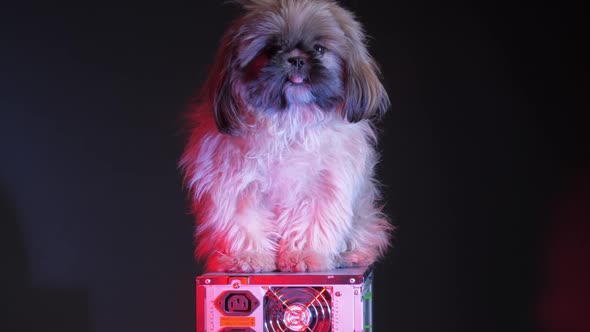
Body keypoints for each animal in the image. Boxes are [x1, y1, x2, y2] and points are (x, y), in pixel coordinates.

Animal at [180, 0, 394, 272]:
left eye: (319, 49)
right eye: (271, 50)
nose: (296, 59)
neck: (290, 119)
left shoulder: (322, 186)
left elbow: (311, 223)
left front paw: (303, 254)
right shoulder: (235, 185)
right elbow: (243, 223)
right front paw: (248, 256)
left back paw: (350, 254)